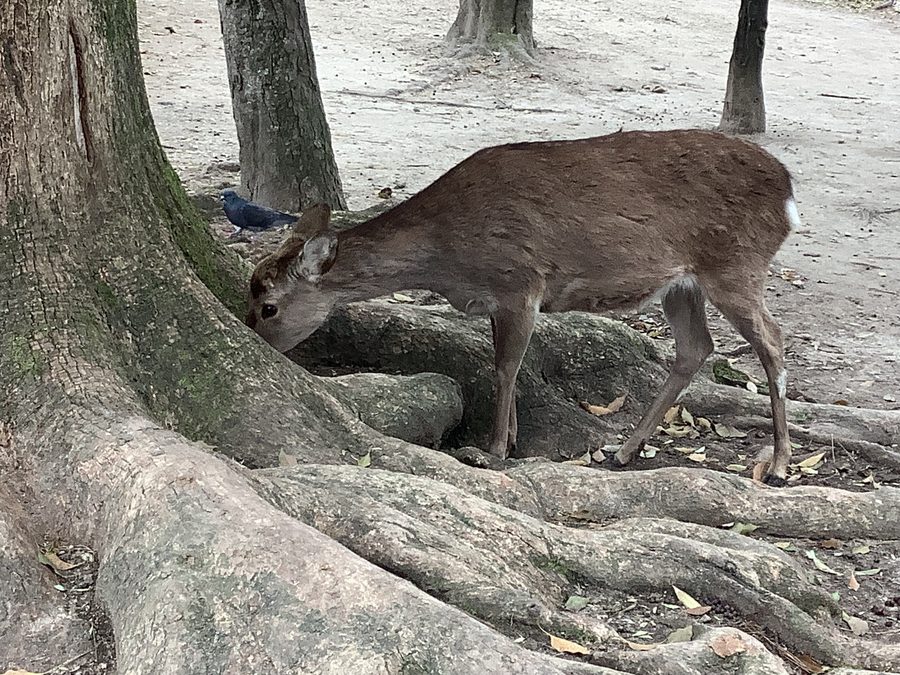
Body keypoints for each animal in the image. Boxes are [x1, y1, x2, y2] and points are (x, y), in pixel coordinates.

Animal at [246, 129, 800, 485]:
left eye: (268, 306)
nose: (252, 336)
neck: (448, 254)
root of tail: (789, 193)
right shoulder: (498, 298)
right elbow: (503, 362)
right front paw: (511, 438)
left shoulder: (520, 281)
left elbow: (506, 365)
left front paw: (494, 450)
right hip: (682, 283)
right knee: (695, 348)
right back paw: (623, 451)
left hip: (736, 264)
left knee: (773, 340)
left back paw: (777, 466)